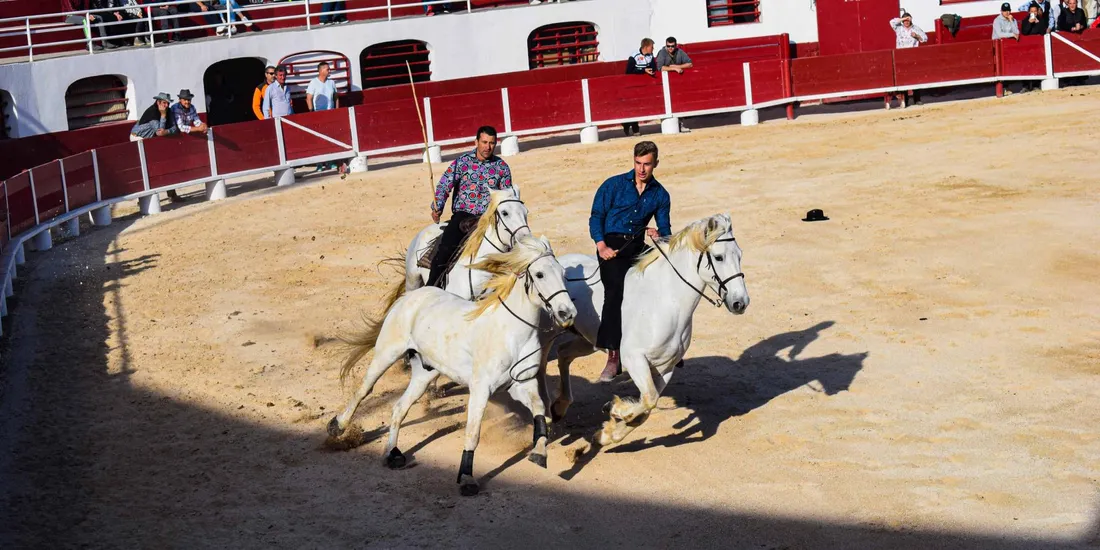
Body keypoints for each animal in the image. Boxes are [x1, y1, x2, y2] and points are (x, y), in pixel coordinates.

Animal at [327, 234, 576, 497]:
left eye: (563, 273)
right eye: (539, 274)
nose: (567, 313)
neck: (512, 331)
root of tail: (413, 295)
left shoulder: (521, 384)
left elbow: (539, 410)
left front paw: (539, 453)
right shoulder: (481, 389)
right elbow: (473, 432)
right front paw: (466, 478)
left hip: (424, 374)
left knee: (399, 408)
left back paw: (392, 454)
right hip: (387, 352)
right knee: (364, 389)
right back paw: (338, 426)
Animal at [539, 213, 752, 446]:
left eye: (740, 254)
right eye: (719, 257)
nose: (740, 302)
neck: (666, 302)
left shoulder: (665, 367)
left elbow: (647, 406)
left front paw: (607, 432)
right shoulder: (634, 359)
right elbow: (648, 399)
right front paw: (615, 410)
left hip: (588, 340)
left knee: (564, 354)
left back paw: (559, 407)